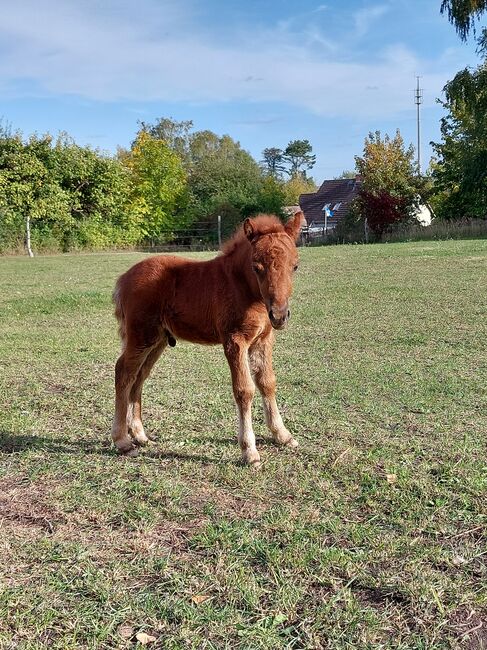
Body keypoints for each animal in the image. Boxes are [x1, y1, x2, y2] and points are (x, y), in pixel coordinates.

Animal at [112, 210, 304, 464]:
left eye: (295, 266)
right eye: (256, 267)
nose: (279, 315)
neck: (241, 286)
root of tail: (124, 278)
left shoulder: (263, 340)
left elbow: (267, 382)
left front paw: (282, 435)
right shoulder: (235, 341)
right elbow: (244, 390)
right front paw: (249, 450)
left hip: (157, 340)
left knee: (139, 376)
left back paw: (140, 435)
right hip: (141, 335)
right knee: (124, 372)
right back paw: (122, 441)